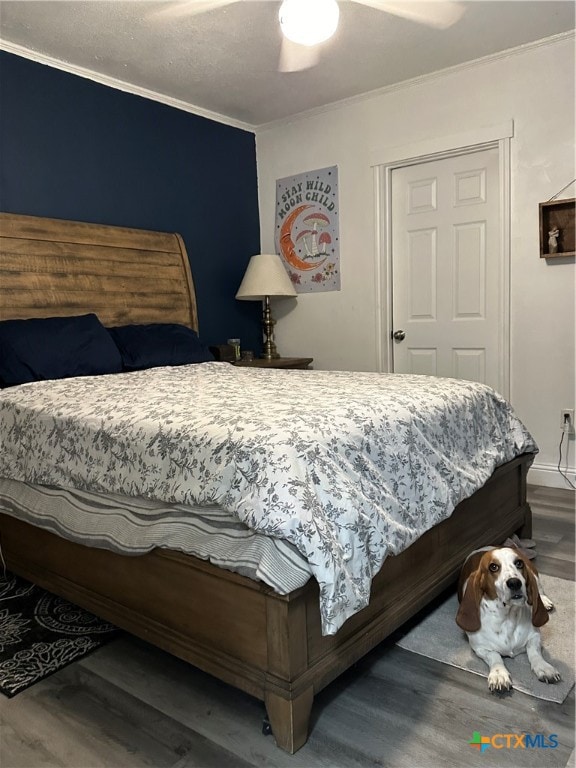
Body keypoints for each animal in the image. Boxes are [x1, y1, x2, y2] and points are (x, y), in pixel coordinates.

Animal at [454, 544, 560, 692]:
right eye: (493, 567)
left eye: (518, 563)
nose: (515, 583)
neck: (507, 618)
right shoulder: (480, 648)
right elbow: (495, 656)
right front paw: (499, 674)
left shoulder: (535, 636)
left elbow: (534, 652)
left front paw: (544, 667)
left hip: (534, 575)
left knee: (540, 589)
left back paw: (544, 601)